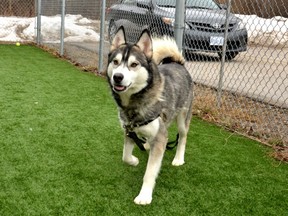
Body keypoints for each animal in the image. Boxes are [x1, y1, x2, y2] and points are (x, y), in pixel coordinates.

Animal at [106, 27, 194, 204]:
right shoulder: (129, 130)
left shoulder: (160, 138)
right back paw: (146, 144)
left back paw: (178, 159)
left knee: (182, 137)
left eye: (134, 64)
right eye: (115, 62)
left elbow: (150, 172)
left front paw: (144, 195)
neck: (135, 102)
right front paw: (134, 161)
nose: (117, 77)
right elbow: (125, 156)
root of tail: (178, 63)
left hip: (182, 118)